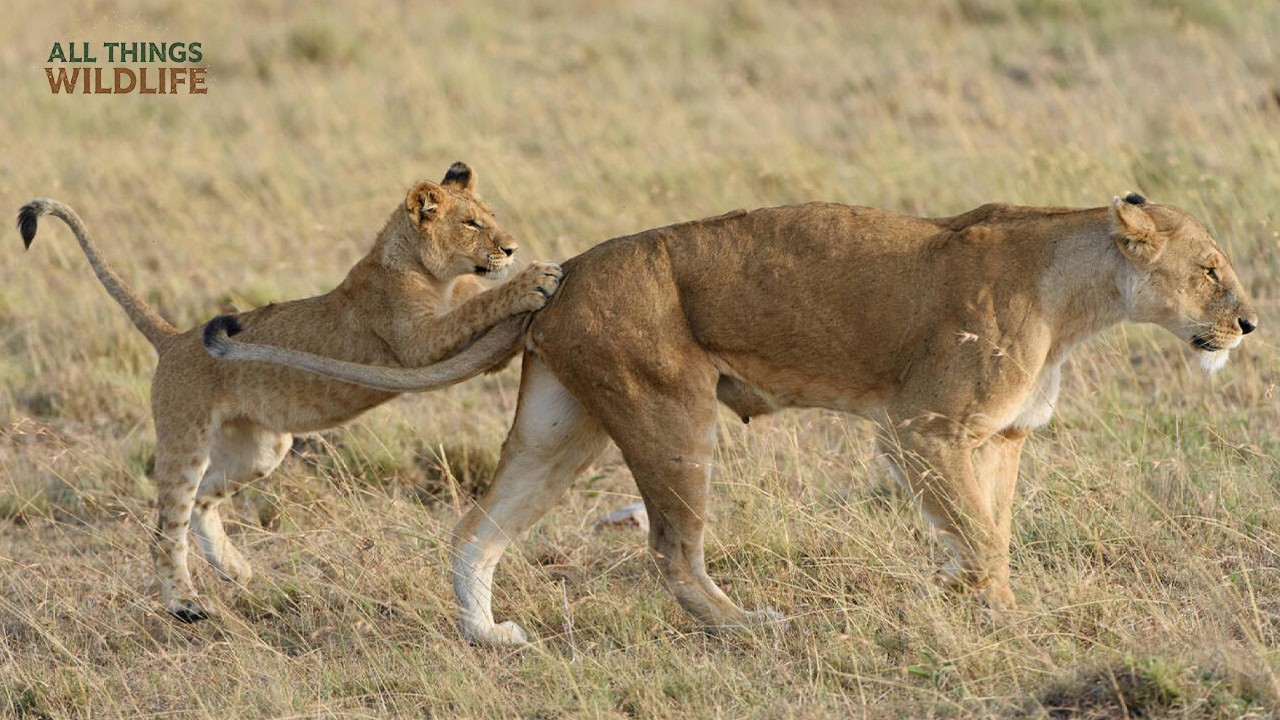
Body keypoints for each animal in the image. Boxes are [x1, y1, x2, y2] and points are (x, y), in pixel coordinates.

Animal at [17, 162, 561, 623]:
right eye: (471, 224)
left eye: (491, 218)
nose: (511, 249)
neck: (431, 273)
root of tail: (173, 337)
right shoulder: (418, 342)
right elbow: (479, 305)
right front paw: (534, 279)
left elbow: (478, 304)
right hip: (184, 438)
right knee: (165, 529)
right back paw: (185, 604)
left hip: (260, 450)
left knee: (203, 502)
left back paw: (236, 569)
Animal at [200, 192, 1257, 645]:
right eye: (1211, 267)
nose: (1248, 322)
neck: (1079, 295)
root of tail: (563, 273)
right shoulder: (924, 426)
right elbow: (984, 536)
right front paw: (997, 618)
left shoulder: (997, 438)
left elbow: (987, 528)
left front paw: (970, 600)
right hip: (669, 412)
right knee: (671, 551)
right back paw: (750, 627)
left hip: (563, 425)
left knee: (474, 528)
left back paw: (489, 636)